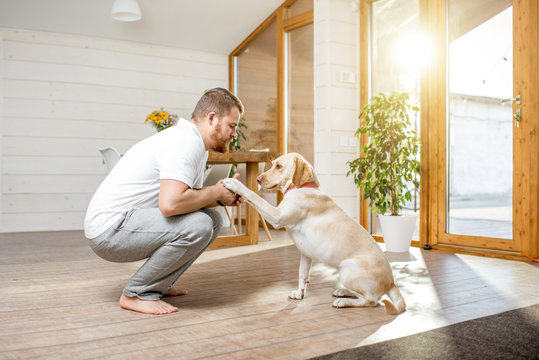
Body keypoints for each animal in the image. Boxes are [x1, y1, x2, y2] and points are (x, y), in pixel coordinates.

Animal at [223, 153, 404, 314]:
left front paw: (234, 183)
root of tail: (391, 283)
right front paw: (299, 293)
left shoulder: (277, 216)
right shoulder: (305, 253)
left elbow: (255, 196)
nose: (258, 179)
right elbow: (302, 274)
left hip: (347, 269)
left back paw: (343, 302)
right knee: (364, 295)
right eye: (273, 164)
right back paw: (343, 292)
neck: (302, 188)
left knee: (372, 301)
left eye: (279, 166)